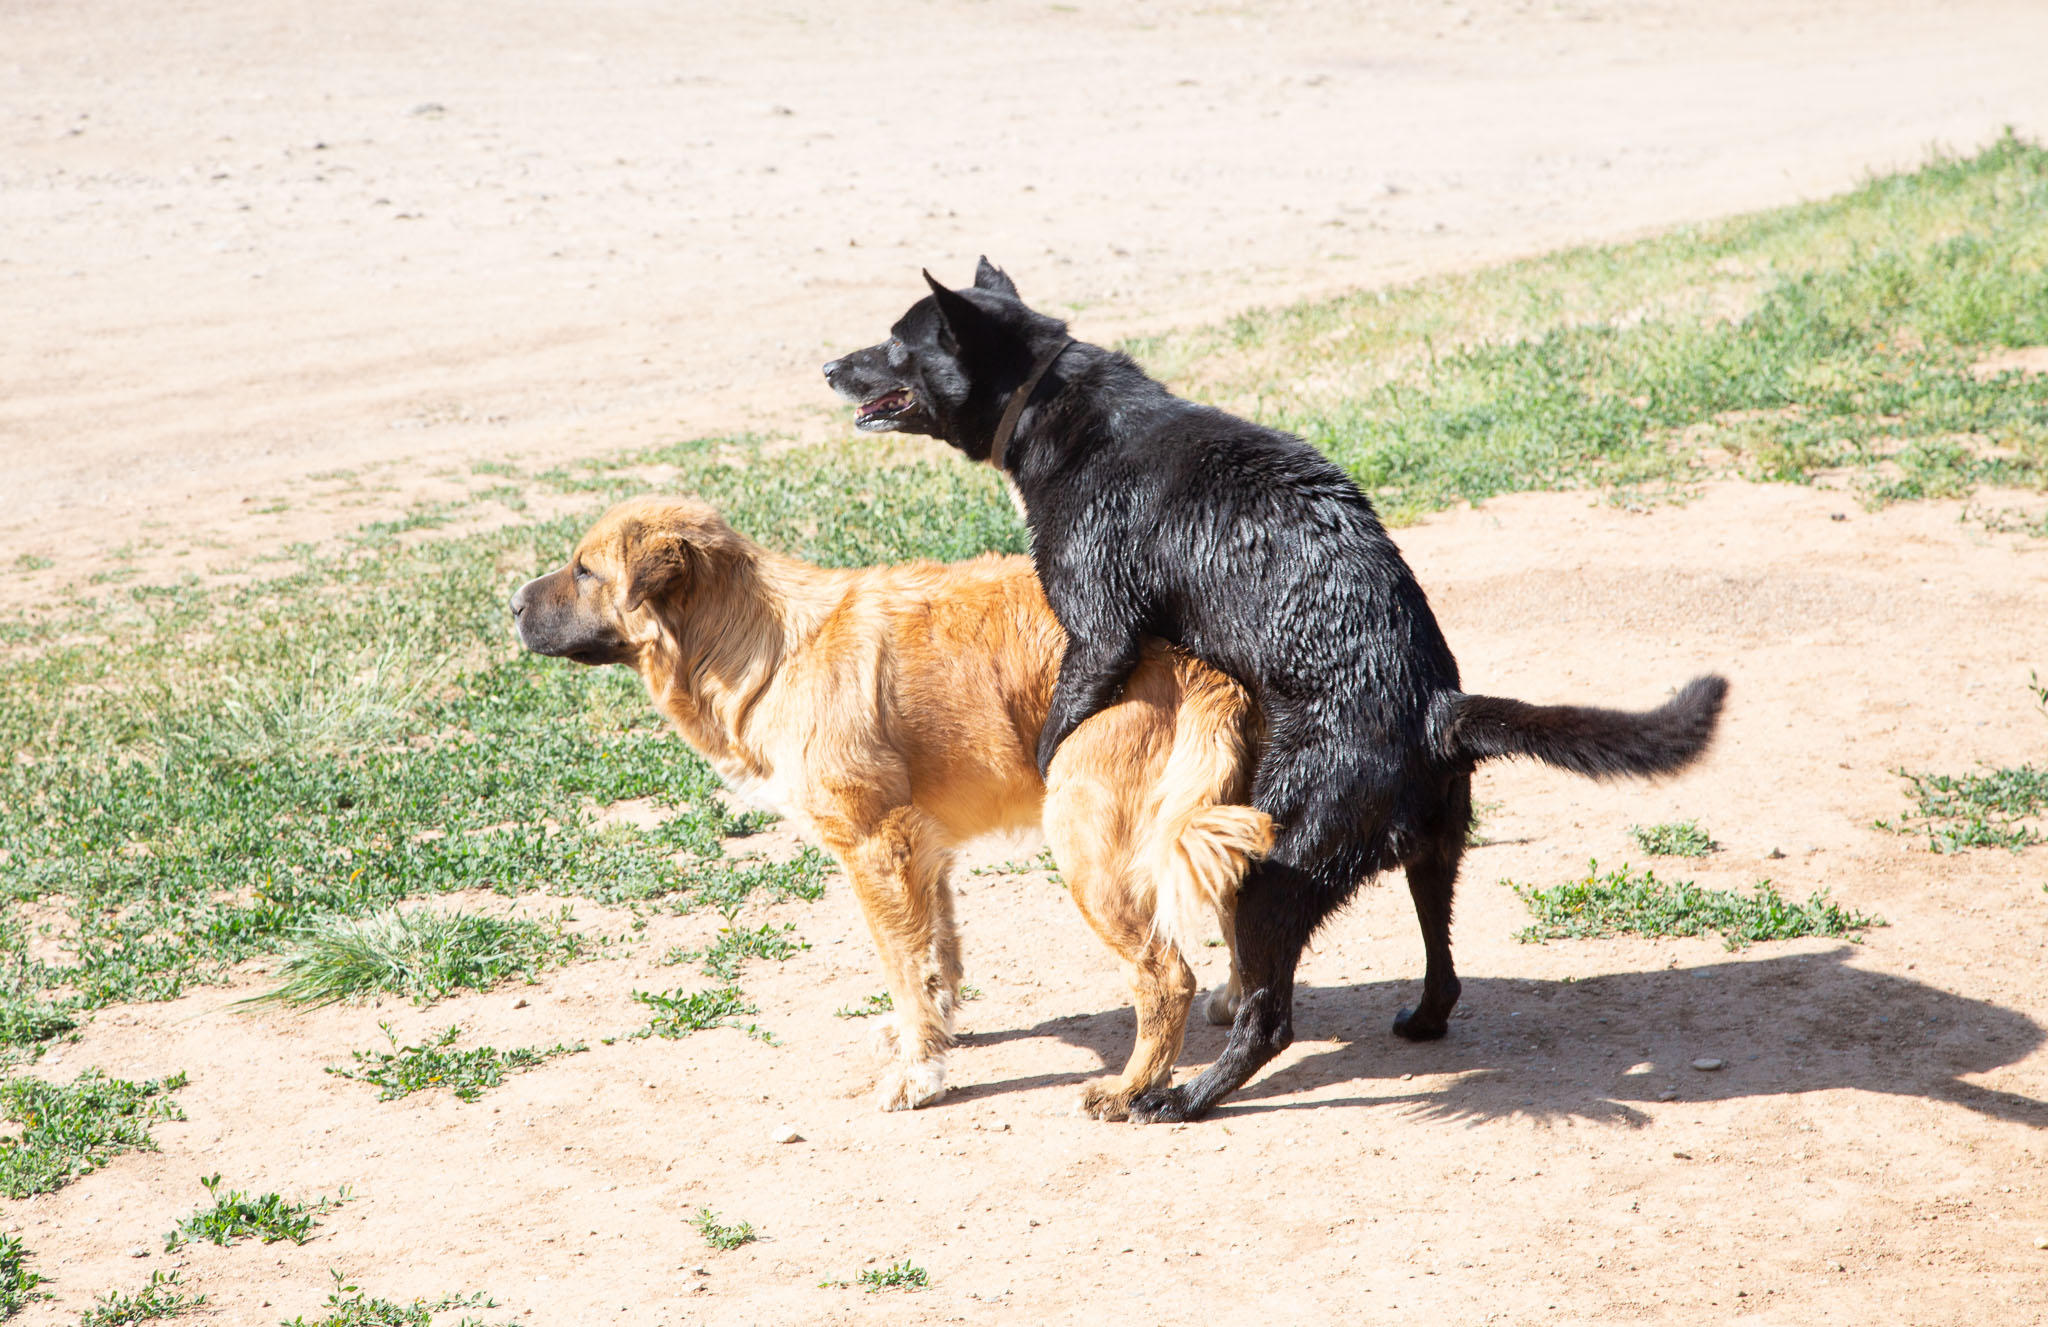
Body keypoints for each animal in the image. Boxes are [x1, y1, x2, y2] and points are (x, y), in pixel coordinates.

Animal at [510, 495, 1273, 1118]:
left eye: (584, 570)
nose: (511, 605)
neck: (764, 646)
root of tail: (1200, 666)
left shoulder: (877, 847)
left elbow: (904, 966)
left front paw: (919, 1072)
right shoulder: (924, 848)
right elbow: (936, 958)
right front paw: (926, 1036)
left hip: (1088, 849)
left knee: (1165, 976)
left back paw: (1132, 1088)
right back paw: (1234, 1001)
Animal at [824, 258, 1729, 1122]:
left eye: (897, 342)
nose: (830, 364)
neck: (1056, 400)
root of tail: (1435, 712)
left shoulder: (1101, 629)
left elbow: (1063, 720)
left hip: (1270, 867)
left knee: (1270, 1020)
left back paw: (1179, 1099)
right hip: (1432, 851)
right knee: (1442, 966)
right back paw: (1419, 1020)